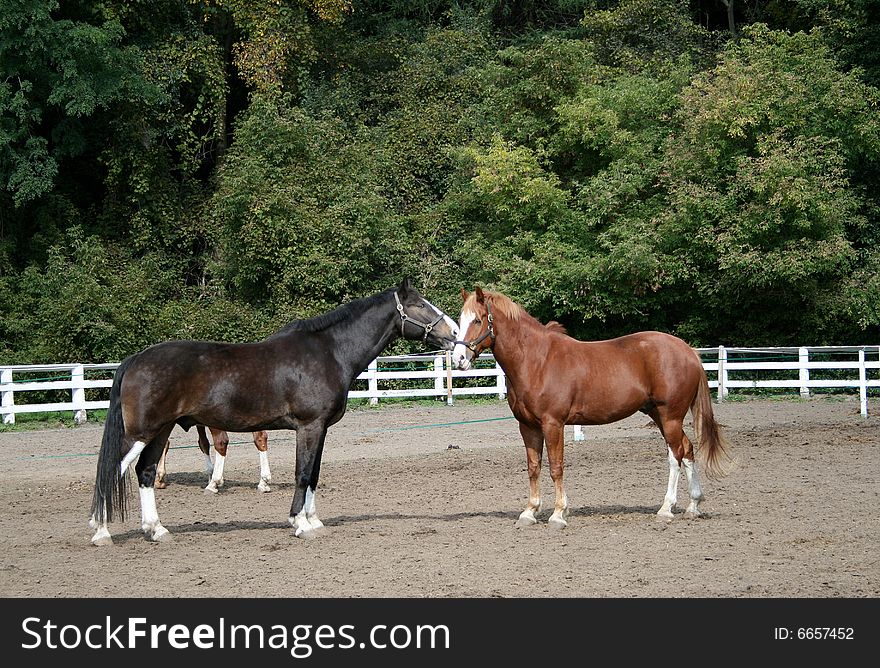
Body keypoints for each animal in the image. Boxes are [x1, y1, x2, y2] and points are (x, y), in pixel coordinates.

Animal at [89, 280, 460, 544]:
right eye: (419, 305)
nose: (456, 333)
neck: (329, 352)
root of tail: (135, 359)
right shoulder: (309, 427)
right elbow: (302, 473)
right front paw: (300, 523)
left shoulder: (321, 429)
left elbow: (314, 475)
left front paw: (314, 520)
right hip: (140, 432)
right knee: (112, 470)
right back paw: (101, 531)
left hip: (160, 431)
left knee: (145, 472)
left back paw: (156, 530)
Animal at [450, 286, 732, 528]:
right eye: (459, 322)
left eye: (477, 320)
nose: (459, 359)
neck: (536, 360)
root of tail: (688, 351)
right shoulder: (528, 426)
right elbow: (533, 467)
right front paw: (529, 512)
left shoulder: (553, 424)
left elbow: (556, 467)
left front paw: (558, 514)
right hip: (660, 416)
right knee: (688, 450)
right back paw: (693, 506)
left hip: (670, 415)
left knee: (675, 455)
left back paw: (666, 509)